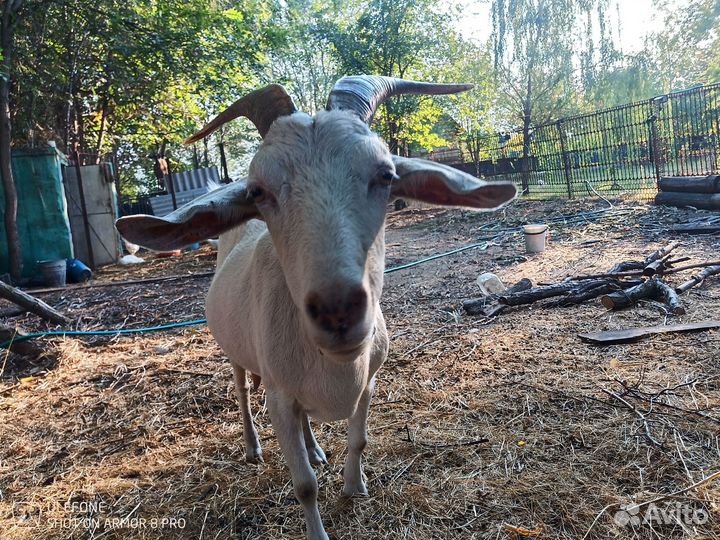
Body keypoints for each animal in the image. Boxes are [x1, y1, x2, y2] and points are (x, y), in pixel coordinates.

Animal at [116, 76, 517, 540]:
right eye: (258, 190)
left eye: (386, 175)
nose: (337, 310)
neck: (337, 369)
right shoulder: (277, 397)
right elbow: (304, 484)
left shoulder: (368, 382)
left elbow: (358, 440)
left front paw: (354, 486)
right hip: (237, 353)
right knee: (241, 390)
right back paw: (253, 448)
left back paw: (315, 449)